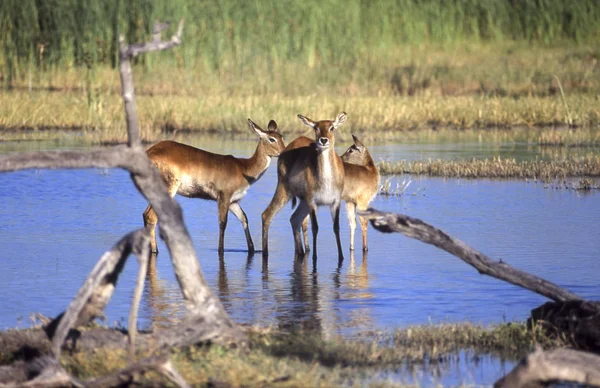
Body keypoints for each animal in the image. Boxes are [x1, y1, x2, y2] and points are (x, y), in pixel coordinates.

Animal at [142, 119, 284, 256]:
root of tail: (148, 152)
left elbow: (244, 218)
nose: (284, 152)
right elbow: (223, 223)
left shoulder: (233, 201)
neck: (243, 168)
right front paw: (220, 250)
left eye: (282, 136)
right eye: (272, 139)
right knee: (151, 216)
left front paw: (252, 249)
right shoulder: (224, 197)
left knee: (145, 215)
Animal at [262, 113, 346, 262]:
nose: (323, 140)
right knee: (267, 215)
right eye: (316, 128)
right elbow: (315, 228)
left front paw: (341, 257)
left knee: (294, 219)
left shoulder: (335, 202)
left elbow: (336, 227)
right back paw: (265, 253)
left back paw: (301, 252)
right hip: (284, 190)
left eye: (332, 127)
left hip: (302, 202)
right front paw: (315, 257)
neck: (326, 181)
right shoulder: (313, 202)